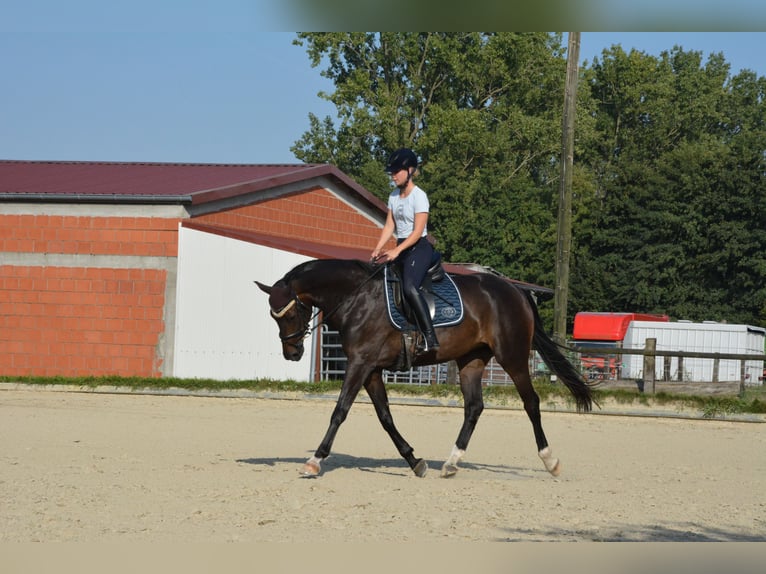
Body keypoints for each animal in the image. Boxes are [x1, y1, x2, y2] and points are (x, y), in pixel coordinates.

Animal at [255, 258, 596, 480]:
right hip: (471, 360)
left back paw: (550, 461)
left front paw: (315, 460)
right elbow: (385, 417)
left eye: (289, 314)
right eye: (273, 316)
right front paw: (414, 461)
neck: (357, 296)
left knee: (531, 403)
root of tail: (516, 290)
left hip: (512, 356)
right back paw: (451, 463)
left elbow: (339, 411)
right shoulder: (371, 369)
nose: (292, 353)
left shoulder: (360, 363)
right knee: (474, 407)